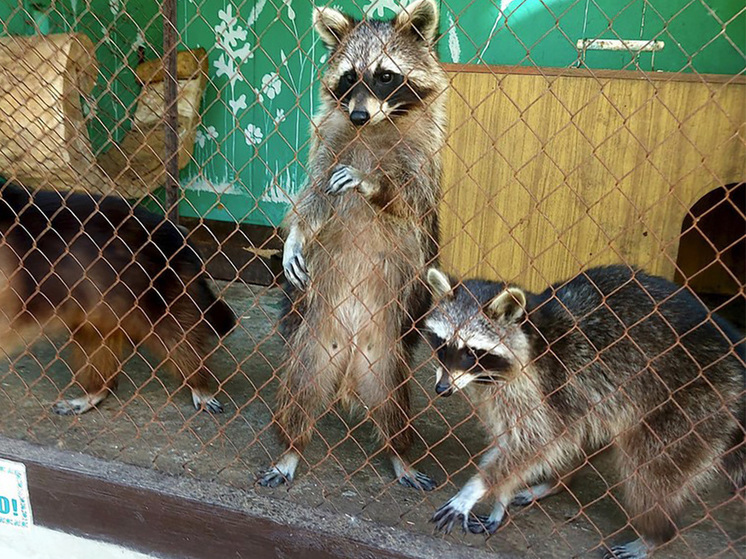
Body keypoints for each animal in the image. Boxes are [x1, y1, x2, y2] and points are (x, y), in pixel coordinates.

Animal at [0, 180, 234, 416]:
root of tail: (177, 235)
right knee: (95, 340)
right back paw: (97, 389)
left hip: (160, 281)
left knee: (178, 337)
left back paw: (199, 383)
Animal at [260, 0, 448, 490]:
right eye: (349, 77)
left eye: (384, 75)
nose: (359, 115)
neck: (375, 129)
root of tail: (347, 368)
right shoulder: (328, 145)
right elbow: (314, 198)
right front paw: (296, 236)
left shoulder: (425, 158)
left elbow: (411, 198)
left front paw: (372, 183)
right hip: (310, 349)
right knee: (297, 397)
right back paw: (290, 448)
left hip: (387, 362)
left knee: (395, 410)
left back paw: (400, 453)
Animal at [422, 266, 740, 559]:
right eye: (442, 344)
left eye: (470, 352)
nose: (442, 389)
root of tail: (737, 361)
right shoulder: (501, 395)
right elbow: (515, 443)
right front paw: (502, 493)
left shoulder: (540, 386)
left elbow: (536, 442)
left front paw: (477, 487)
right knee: (582, 437)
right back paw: (558, 481)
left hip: (691, 404)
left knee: (651, 469)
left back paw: (656, 533)